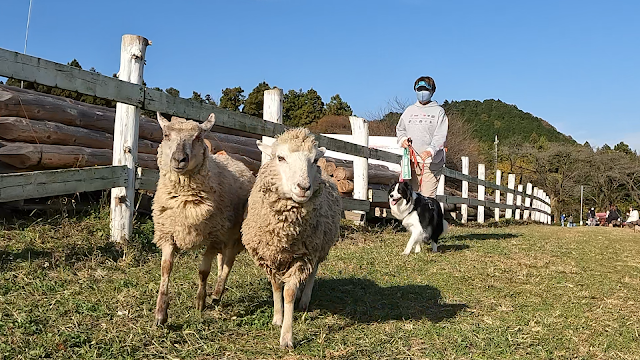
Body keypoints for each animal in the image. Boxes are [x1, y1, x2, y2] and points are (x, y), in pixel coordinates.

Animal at [152, 112, 255, 326]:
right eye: (166, 135)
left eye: (198, 137)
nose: (179, 159)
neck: (184, 197)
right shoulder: (168, 232)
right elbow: (166, 268)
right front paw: (161, 313)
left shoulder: (213, 236)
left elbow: (203, 271)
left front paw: (200, 302)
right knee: (222, 260)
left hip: (233, 234)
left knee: (228, 262)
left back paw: (216, 293)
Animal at [241, 128, 342, 348]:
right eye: (280, 158)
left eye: (314, 160)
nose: (303, 187)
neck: (284, 234)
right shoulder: (269, 256)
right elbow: (276, 286)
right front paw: (277, 318)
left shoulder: (302, 257)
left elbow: (289, 292)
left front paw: (287, 337)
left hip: (319, 246)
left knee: (313, 272)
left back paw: (304, 301)